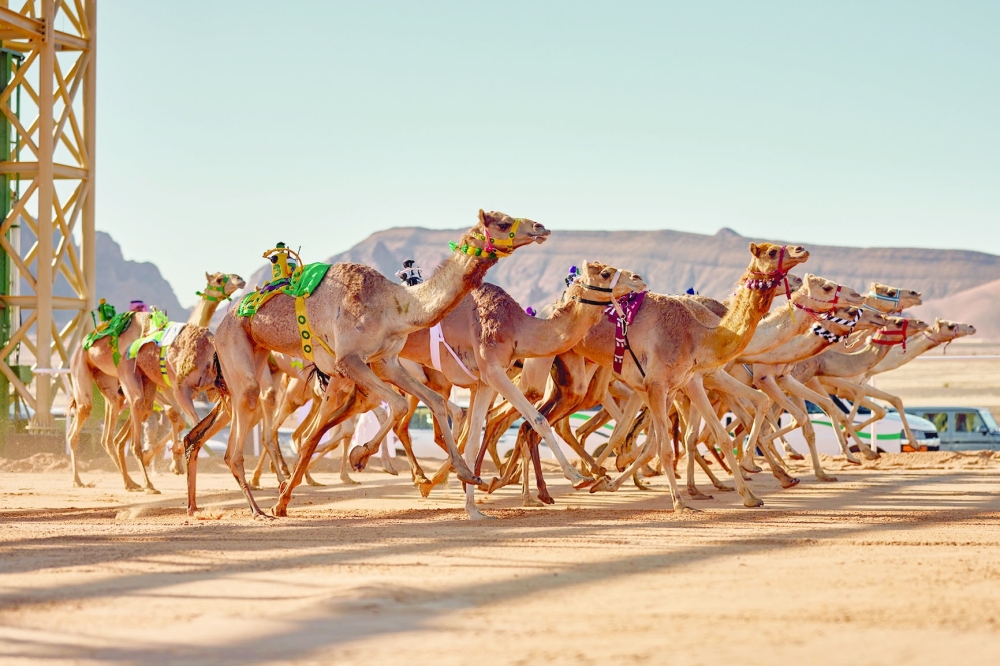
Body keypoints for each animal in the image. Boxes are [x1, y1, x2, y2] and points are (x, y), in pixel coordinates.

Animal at [186, 210, 550, 519]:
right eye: (502, 222)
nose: (540, 227)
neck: (394, 305)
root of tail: (223, 323)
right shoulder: (350, 361)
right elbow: (398, 405)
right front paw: (361, 456)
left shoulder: (387, 361)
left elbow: (432, 402)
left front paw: (464, 473)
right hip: (238, 350)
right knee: (246, 429)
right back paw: (260, 508)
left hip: (255, 358)